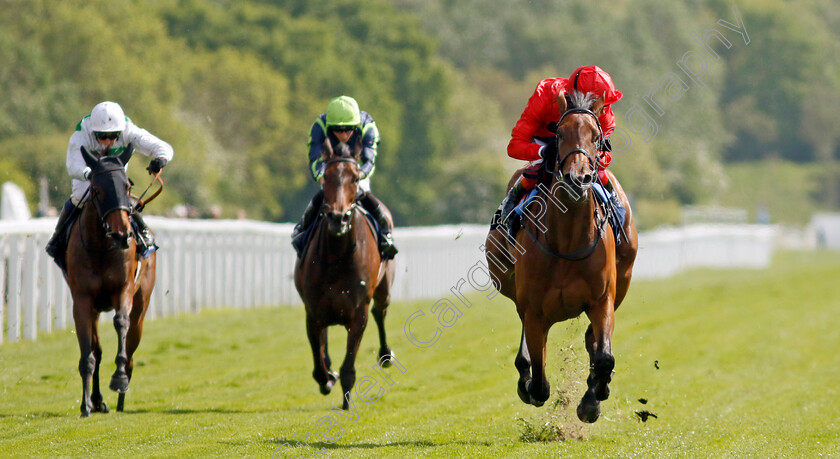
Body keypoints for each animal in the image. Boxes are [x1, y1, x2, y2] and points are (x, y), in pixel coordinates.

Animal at [67, 146, 156, 418]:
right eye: (97, 189)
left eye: (127, 186)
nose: (122, 234)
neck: (101, 248)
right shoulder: (82, 300)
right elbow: (89, 354)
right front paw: (86, 404)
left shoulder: (123, 290)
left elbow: (121, 323)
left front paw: (119, 379)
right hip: (96, 309)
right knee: (97, 350)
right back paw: (98, 401)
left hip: (141, 304)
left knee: (132, 345)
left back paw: (122, 396)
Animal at [294, 137, 396, 410]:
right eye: (326, 176)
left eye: (355, 177)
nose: (338, 218)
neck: (337, 257)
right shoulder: (313, 310)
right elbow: (319, 364)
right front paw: (328, 377)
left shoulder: (358, 313)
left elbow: (349, 365)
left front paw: (347, 401)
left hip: (384, 289)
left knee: (381, 312)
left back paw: (386, 354)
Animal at [482, 90, 640, 424]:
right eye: (560, 133)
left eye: (597, 137)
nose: (579, 177)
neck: (567, 241)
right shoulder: (534, 310)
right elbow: (540, 383)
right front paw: (528, 385)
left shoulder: (602, 299)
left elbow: (604, 357)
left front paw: (592, 400)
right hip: (511, 289)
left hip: (623, 280)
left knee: (593, 340)